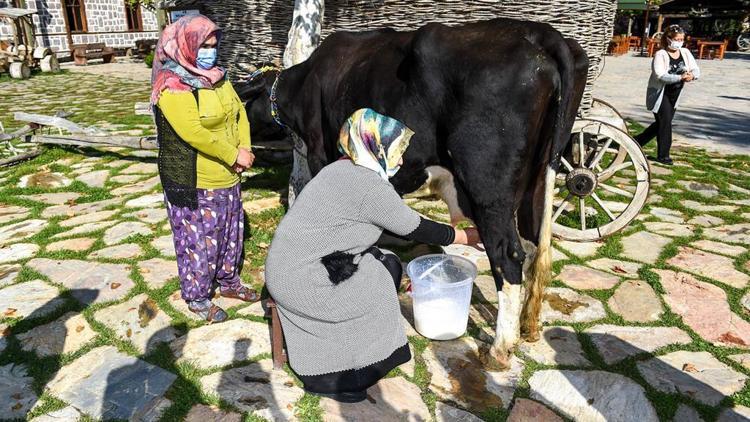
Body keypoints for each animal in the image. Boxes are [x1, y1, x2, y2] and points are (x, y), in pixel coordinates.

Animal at [238, 17, 592, 366]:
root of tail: (537, 33)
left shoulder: (320, 154)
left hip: (488, 186)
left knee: (508, 254)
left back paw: (500, 349)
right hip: (540, 175)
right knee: (535, 245)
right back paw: (528, 326)